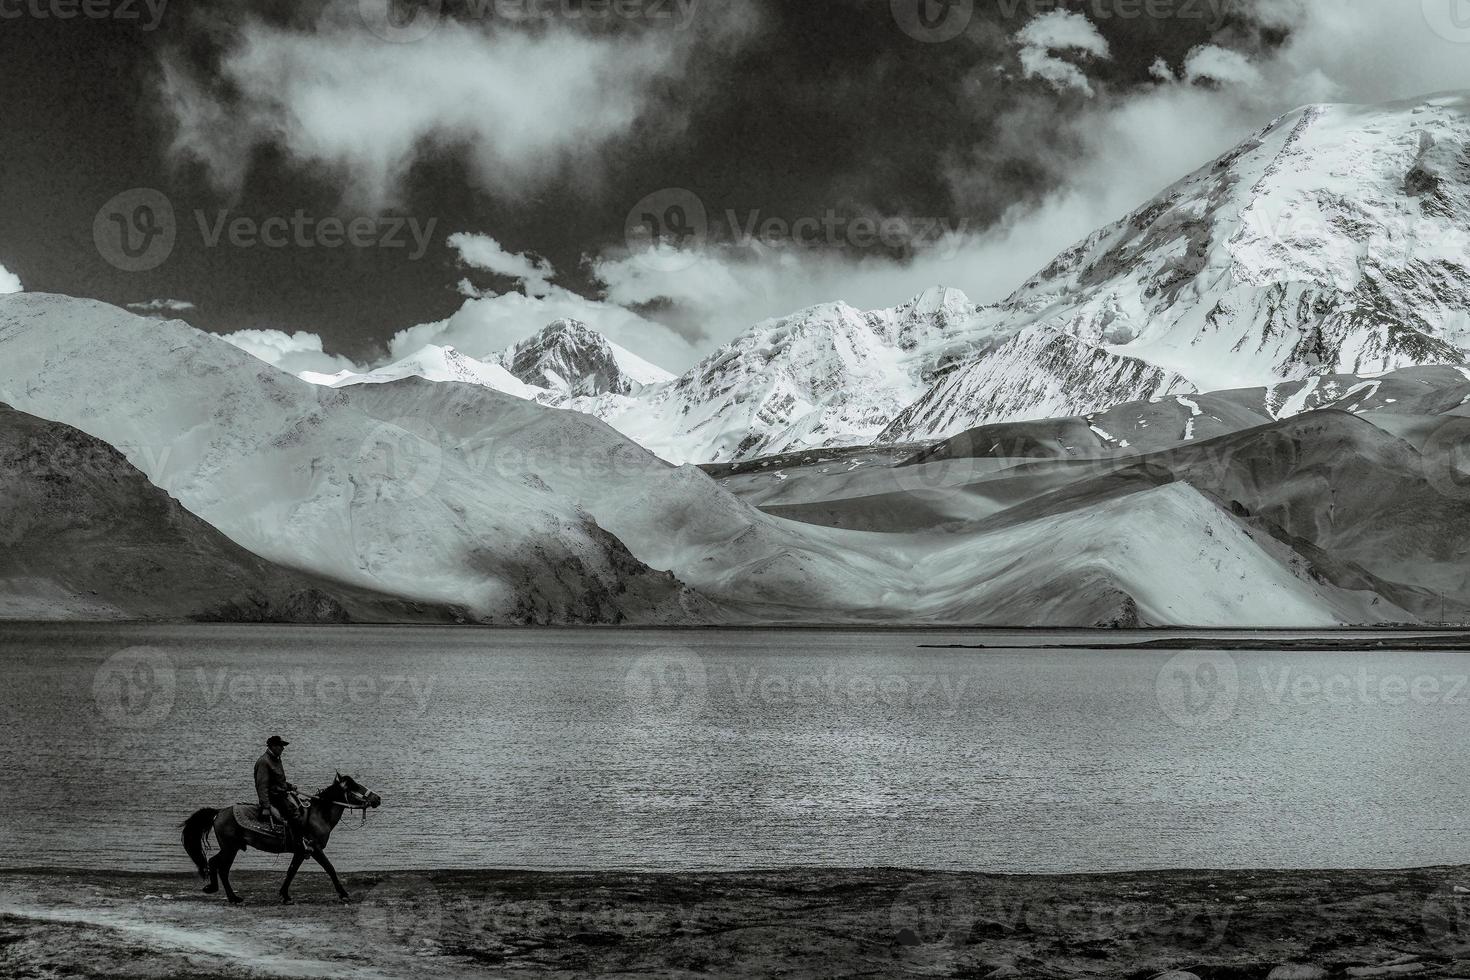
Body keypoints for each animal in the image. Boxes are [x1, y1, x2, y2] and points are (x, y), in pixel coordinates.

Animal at [179, 769, 379, 910]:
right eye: (355, 786)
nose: (377, 798)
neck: (318, 814)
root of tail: (218, 812)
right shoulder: (313, 848)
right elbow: (330, 868)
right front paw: (344, 894)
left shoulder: (300, 851)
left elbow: (291, 871)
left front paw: (285, 895)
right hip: (230, 848)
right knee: (222, 868)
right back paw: (233, 897)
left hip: (230, 848)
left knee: (214, 862)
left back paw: (215, 889)